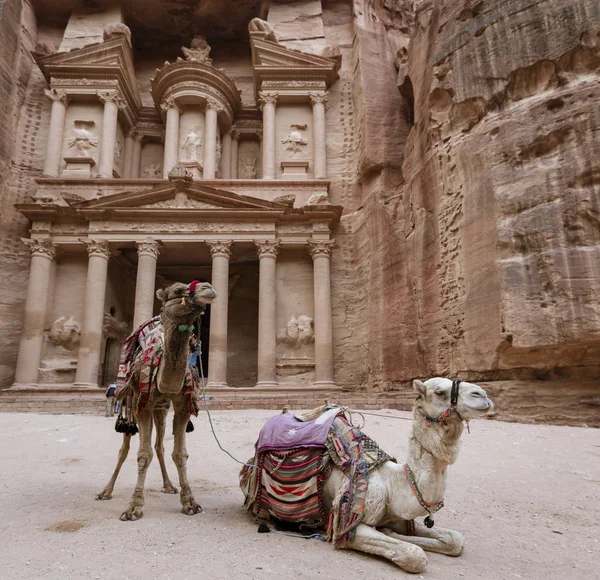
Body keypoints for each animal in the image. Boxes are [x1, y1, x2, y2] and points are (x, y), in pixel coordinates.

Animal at [98, 280, 218, 520]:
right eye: (177, 291)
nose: (207, 287)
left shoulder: (182, 406)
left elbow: (179, 454)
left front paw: (190, 502)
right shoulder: (143, 406)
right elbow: (143, 454)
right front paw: (133, 507)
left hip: (161, 408)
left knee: (159, 444)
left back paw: (169, 485)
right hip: (131, 402)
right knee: (124, 449)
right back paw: (106, 491)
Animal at [241, 378, 494, 572]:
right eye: (440, 391)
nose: (483, 395)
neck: (393, 483)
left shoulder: (399, 517)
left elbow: (455, 540)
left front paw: (392, 532)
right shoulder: (351, 524)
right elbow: (415, 555)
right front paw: (396, 538)